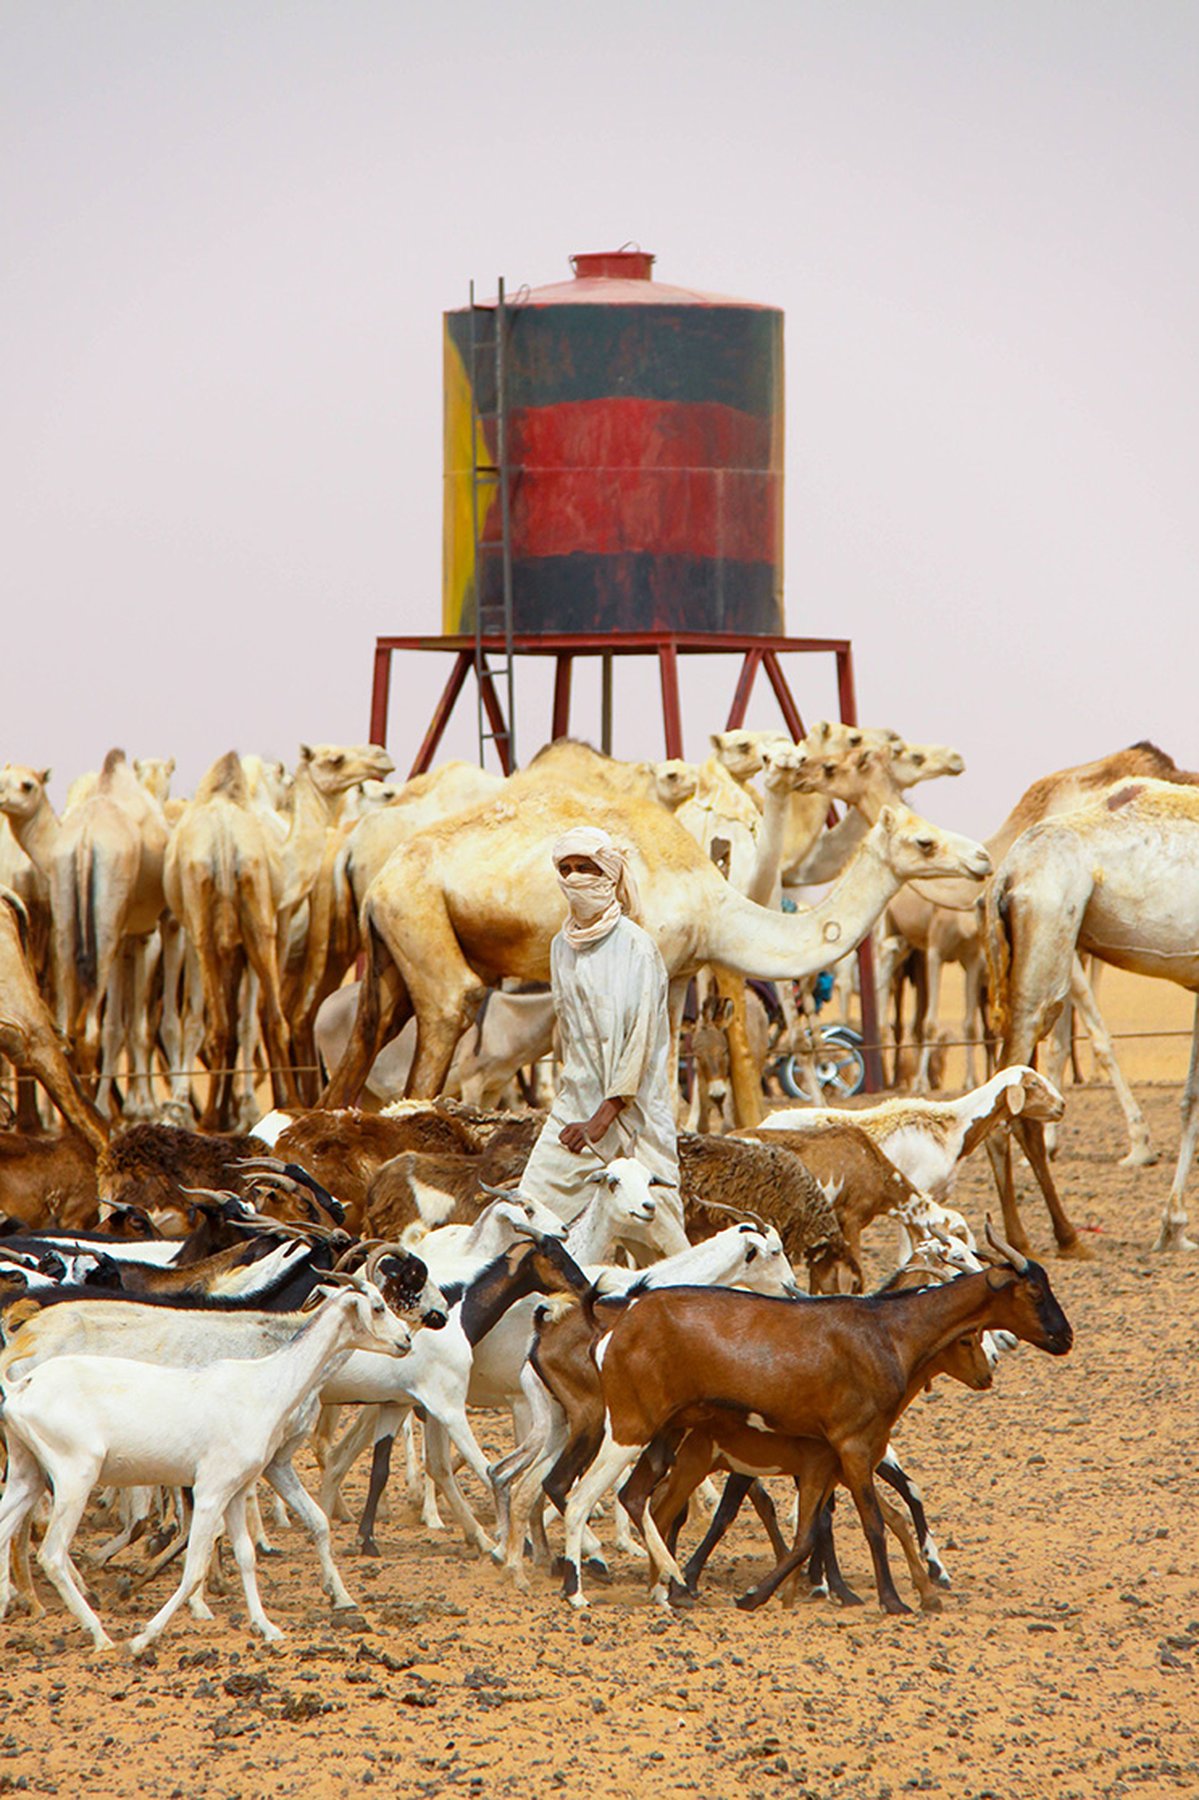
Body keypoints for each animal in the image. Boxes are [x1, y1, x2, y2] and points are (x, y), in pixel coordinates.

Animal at [0, 1276, 415, 1649]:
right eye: (378, 1306)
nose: (407, 1340)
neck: (265, 1382)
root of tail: (21, 1387)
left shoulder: (237, 1491)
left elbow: (247, 1556)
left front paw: (267, 1627)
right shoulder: (211, 1489)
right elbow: (195, 1566)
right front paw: (146, 1635)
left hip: (27, 1474)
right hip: (75, 1479)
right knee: (52, 1554)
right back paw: (100, 1634)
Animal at [322, 744, 991, 1107]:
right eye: (924, 842)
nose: (981, 859)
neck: (714, 904)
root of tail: (375, 877)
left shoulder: (678, 975)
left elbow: (666, 1084)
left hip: (392, 946)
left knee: (365, 1040)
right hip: (421, 923)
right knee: (444, 1020)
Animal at [985, 778, 1199, 1253]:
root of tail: (1005, 875)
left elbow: (1191, 1098)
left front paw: (1173, 1228)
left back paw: (1065, 1235)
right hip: (1045, 957)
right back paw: (1024, 1242)